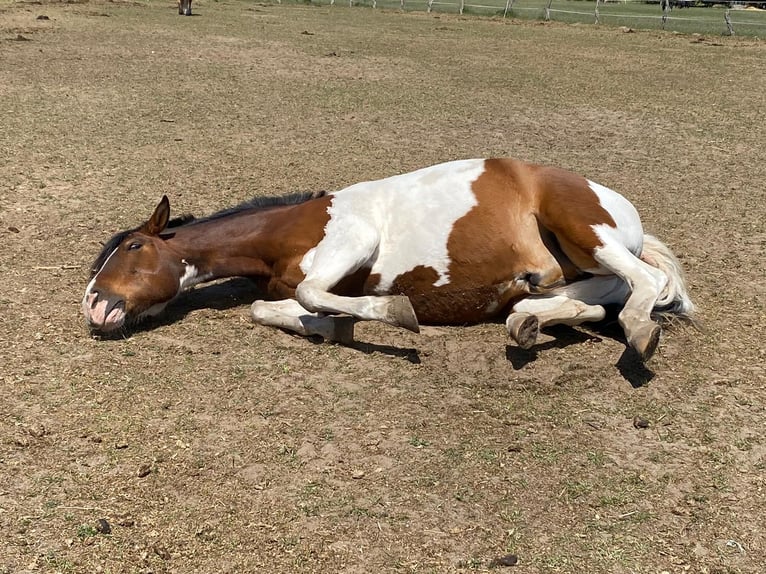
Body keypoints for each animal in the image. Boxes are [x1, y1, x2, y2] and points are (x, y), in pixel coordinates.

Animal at [82, 158, 694, 362]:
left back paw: (638, 332)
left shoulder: (355, 239)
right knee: (594, 299)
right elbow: (274, 308)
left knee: (644, 283)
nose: (93, 305)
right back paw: (528, 320)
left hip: (584, 230)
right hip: (571, 271)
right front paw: (332, 326)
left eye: (133, 247)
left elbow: (310, 294)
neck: (283, 232)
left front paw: (395, 313)